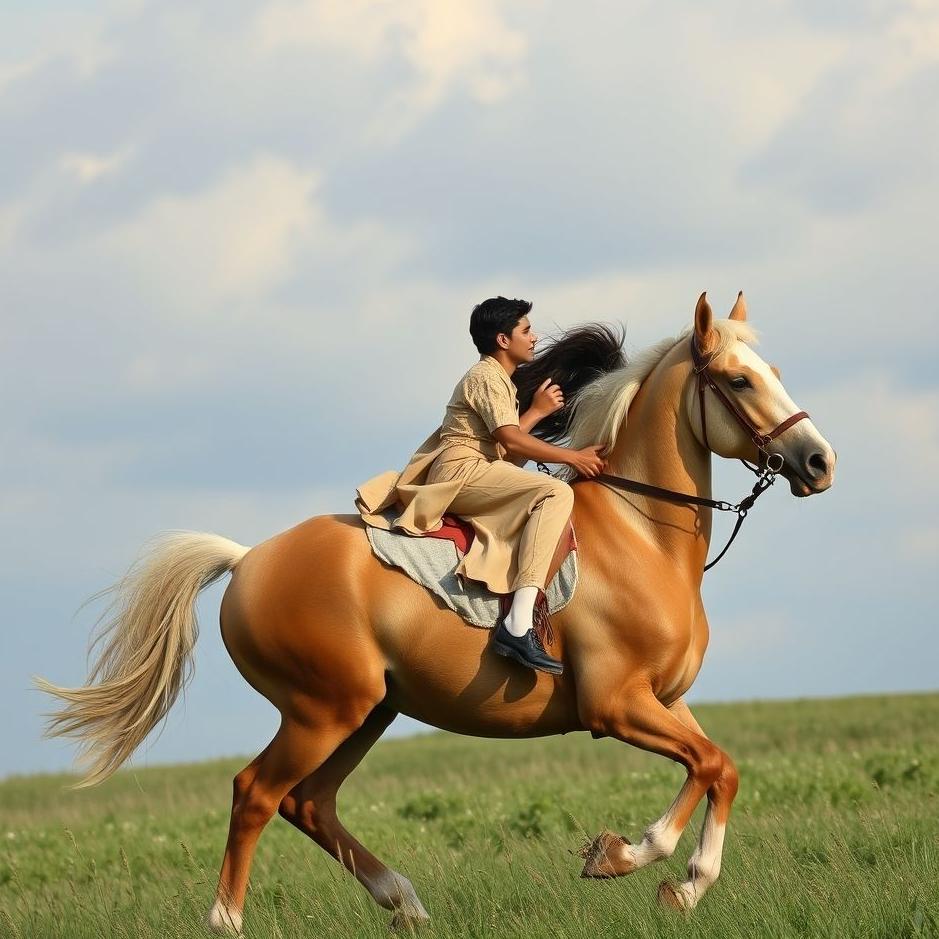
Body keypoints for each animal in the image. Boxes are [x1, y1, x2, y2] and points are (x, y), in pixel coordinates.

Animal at [36, 292, 836, 934]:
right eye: (740, 379)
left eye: (773, 371)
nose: (819, 462)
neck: (640, 531)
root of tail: (246, 559)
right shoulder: (616, 705)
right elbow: (707, 768)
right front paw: (630, 859)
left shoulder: (664, 700)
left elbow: (718, 767)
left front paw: (674, 882)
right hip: (323, 710)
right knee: (256, 794)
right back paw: (227, 921)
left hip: (366, 710)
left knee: (309, 803)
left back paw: (405, 903)